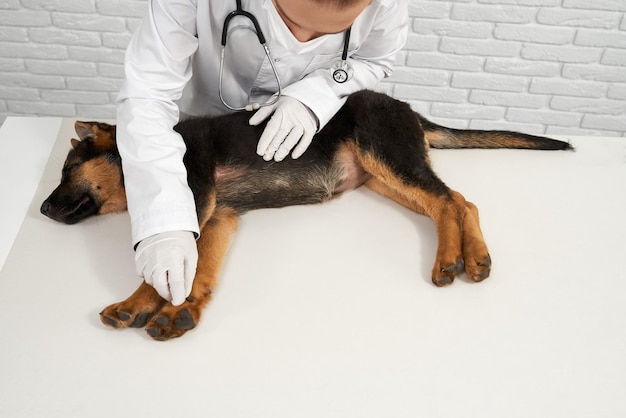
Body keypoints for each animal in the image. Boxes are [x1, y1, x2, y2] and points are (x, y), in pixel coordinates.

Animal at [39, 90, 572, 342]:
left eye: (67, 169)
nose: (41, 209)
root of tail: (409, 110)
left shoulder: (197, 197)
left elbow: (165, 265)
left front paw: (139, 303)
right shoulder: (220, 217)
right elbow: (197, 269)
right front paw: (180, 310)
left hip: (385, 153)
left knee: (454, 201)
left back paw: (456, 258)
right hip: (384, 175)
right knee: (455, 200)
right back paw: (465, 254)